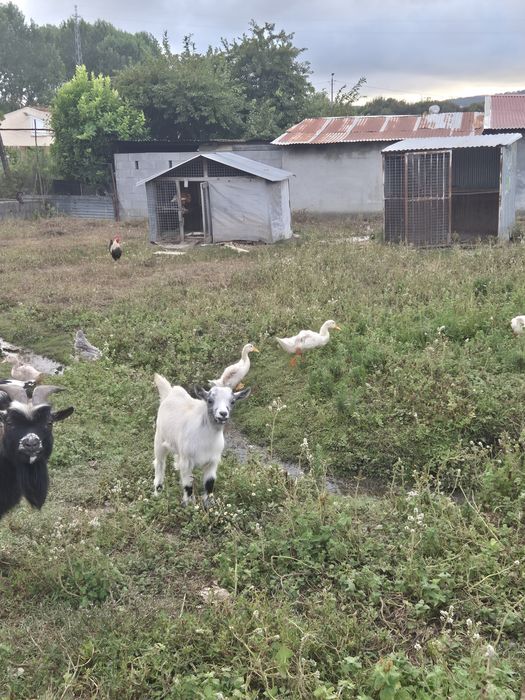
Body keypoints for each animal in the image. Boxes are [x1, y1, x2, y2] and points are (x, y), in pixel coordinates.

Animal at [153, 373, 250, 507]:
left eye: (233, 401)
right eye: (210, 400)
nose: (223, 414)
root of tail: (170, 392)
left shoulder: (213, 461)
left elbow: (209, 483)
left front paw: (209, 505)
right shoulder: (187, 461)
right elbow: (188, 485)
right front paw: (188, 505)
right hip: (159, 439)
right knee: (159, 463)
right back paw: (158, 490)